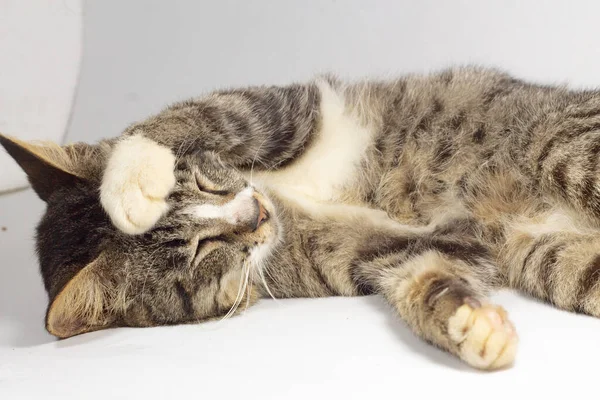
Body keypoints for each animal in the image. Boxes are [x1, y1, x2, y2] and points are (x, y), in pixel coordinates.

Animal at [5, 65, 600, 368]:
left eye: (200, 181)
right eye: (200, 250)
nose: (254, 213)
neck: (281, 198)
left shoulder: (285, 110)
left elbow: (191, 116)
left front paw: (131, 182)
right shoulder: (390, 249)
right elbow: (426, 277)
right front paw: (473, 328)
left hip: (562, 146)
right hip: (552, 255)